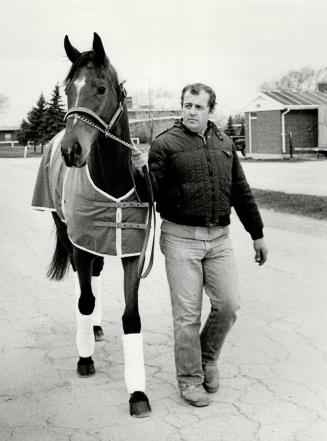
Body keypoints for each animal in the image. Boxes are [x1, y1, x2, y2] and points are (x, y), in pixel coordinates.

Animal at [30, 32, 154, 418]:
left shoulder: (131, 252)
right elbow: (84, 299)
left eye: (100, 88)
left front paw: (138, 393)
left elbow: (132, 317)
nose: (72, 151)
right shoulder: (81, 241)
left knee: (96, 274)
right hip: (69, 233)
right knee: (82, 282)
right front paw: (84, 359)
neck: (112, 180)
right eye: (68, 89)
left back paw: (96, 328)